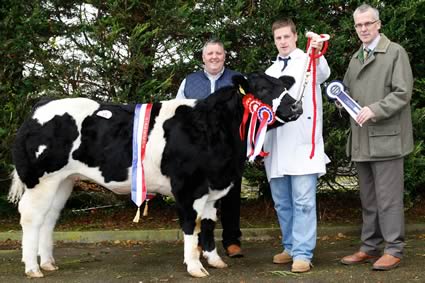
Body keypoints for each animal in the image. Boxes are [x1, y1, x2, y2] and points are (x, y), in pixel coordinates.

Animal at [7, 72, 298, 278]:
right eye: (263, 89)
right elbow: (191, 225)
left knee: (49, 219)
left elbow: (208, 224)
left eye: (284, 87)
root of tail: (42, 104)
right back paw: (32, 268)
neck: (212, 129)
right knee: (31, 218)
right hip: (41, 181)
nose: (296, 107)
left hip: (64, 182)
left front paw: (215, 260)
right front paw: (195, 267)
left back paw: (48, 263)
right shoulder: (188, 188)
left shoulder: (214, 188)